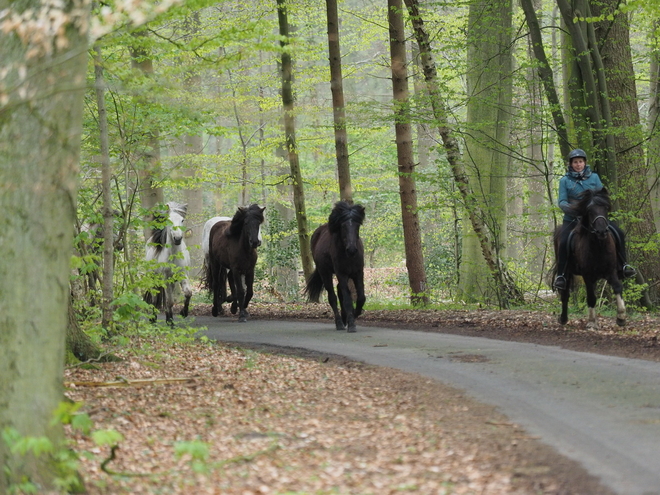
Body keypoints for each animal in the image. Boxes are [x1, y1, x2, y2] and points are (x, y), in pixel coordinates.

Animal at [304, 201, 366, 334]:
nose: (352, 249)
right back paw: (340, 323)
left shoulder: (358, 273)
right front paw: (351, 323)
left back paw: (344, 318)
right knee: (332, 297)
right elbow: (347, 299)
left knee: (339, 290)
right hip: (325, 273)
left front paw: (354, 315)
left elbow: (361, 297)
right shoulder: (341, 273)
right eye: (343, 226)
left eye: (357, 226)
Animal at [548, 189, 628, 330]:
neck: (598, 246)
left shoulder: (611, 271)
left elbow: (617, 287)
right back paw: (563, 318)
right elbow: (591, 297)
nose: (602, 232)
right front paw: (591, 322)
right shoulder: (587, 275)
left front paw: (621, 318)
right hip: (566, 271)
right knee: (565, 293)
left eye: (606, 208)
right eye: (590, 211)